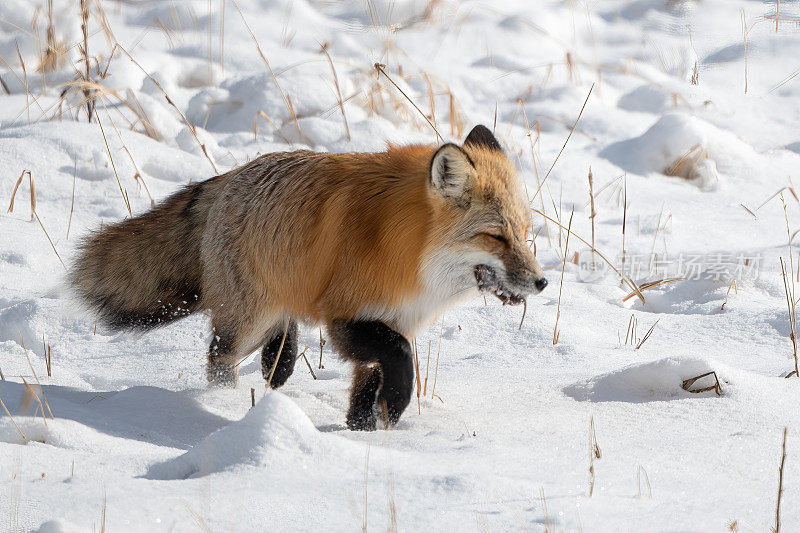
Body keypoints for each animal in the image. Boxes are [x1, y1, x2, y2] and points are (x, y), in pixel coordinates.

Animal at [72, 124, 548, 428]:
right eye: (496, 236)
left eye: (525, 233)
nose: (542, 283)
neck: (409, 251)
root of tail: (229, 177)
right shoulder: (347, 315)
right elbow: (401, 356)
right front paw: (394, 407)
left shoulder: (392, 318)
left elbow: (368, 386)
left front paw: (366, 433)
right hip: (247, 322)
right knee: (219, 357)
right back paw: (224, 399)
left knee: (279, 346)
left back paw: (277, 362)